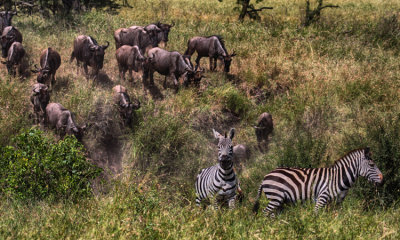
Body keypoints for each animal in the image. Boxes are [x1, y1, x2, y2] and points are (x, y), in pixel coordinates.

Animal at [253, 147, 384, 217]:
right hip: (275, 197)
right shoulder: (322, 197)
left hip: (279, 201)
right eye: (372, 165)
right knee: (265, 213)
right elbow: (316, 216)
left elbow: (336, 218)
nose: (383, 179)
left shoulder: (337, 202)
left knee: (272, 214)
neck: (338, 178)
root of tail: (265, 177)